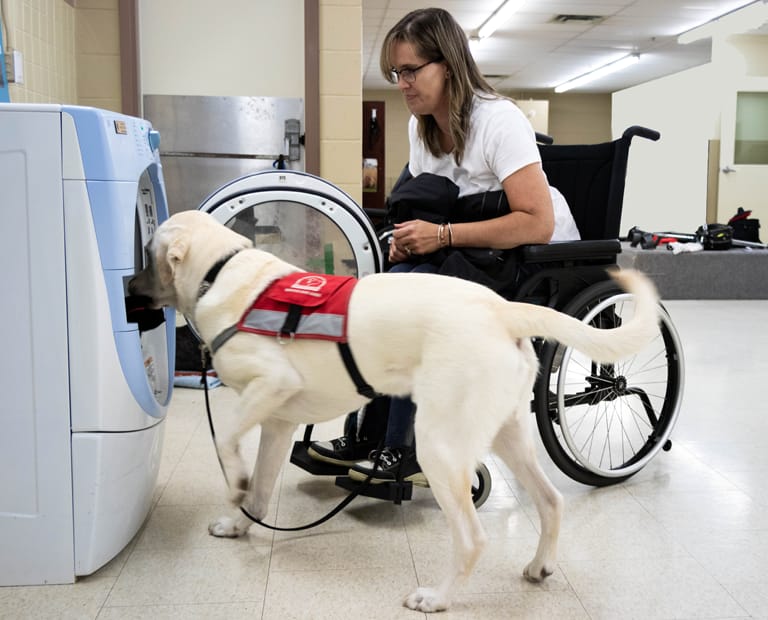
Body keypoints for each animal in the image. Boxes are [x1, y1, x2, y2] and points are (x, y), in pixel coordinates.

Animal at [129, 211, 656, 612]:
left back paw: (437, 598)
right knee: (551, 501)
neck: (221, 272)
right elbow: (259, 488)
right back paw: (540, 564)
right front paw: (240, 522)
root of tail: (503, 309)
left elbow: (225, 440)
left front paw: (234, 483)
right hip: (507, 435)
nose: (126, 285)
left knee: (472, 538)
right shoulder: (279, 421)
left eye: (147, 249)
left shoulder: (271, 385)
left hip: (441, 446)